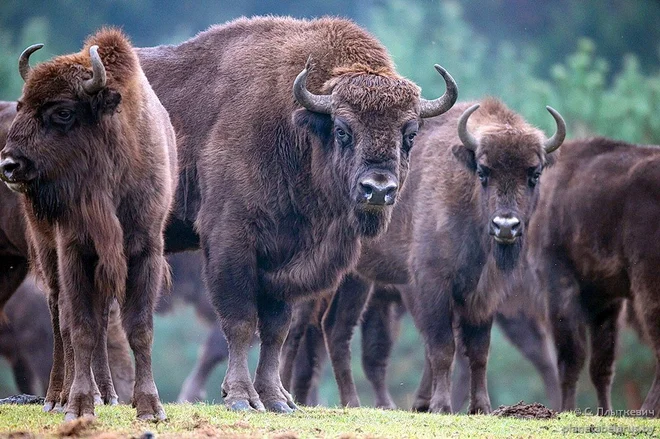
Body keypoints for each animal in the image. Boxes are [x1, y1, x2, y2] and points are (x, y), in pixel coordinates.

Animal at [0, 29, 178, 422]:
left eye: (62, 112)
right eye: (21, 106)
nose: (9, 165)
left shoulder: (143, 252)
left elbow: (139, 328)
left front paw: (150, 407)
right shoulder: (73, 251)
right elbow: (79, 327)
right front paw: (79, 404)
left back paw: (106, 394)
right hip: (47, 253)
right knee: (60, 317)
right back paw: (58, 396)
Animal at [133, 17, 454, 414]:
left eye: (409, 135)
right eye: (342, 130)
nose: (377, 190)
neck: (296, 129)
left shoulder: (284, 259)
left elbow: (276, 329)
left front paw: (276, 399)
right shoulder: (230, 240)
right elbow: (240, 321)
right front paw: (241, 398)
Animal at [528, 138, 660, 420]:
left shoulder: (558, 285)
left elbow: (570, 357)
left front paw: (566, 410)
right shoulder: (606, 300)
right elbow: (601, 364)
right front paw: (604, 412)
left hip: (648, 289)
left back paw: (645, 411)